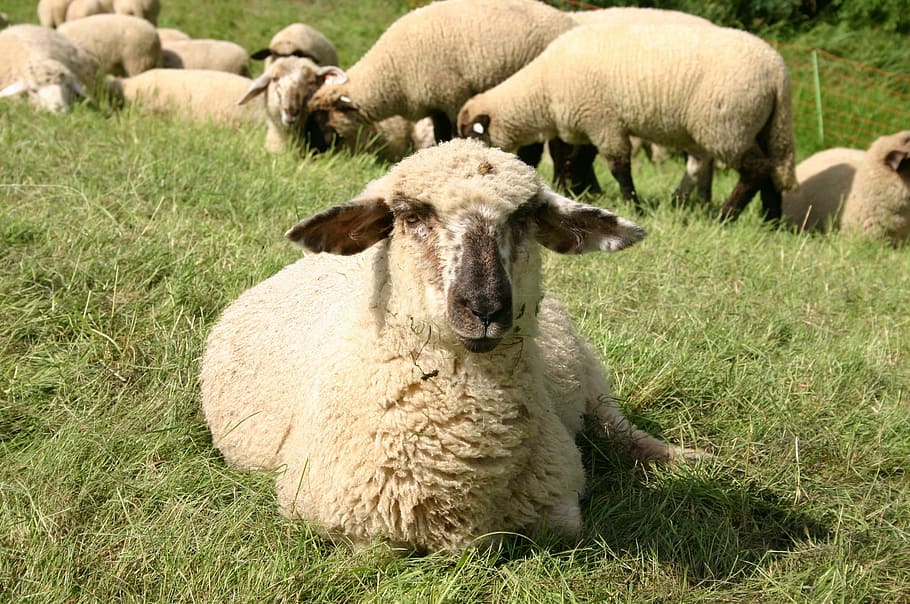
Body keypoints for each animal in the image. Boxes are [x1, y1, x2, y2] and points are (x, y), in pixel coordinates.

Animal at [200, 138, 701, 553]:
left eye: (524, 218)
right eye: (410, 215)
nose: (486, 308)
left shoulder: (560, 509)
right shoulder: (345, 522)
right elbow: (379, 551)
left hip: (590, 377)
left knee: (618, 429)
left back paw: (687, 460)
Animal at [304, 0, 577, 153]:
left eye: (321, 116)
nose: (312, 150)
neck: (391, 72)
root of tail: (567, 19)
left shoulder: (453, 97)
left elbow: (453, 135)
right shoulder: (434, 104)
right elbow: (441, 136)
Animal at [458, 22, 798, 222]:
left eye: (473, 134)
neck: (541, 90)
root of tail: (777, 73)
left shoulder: (602, 120)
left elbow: (618, 165)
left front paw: (634, 206)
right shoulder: (583, 125)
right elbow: (570, 160)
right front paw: (573, 193)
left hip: (726, 127)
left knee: (756, 169)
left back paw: (726, 216)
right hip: (762, 127)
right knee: (771, 169)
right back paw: (771, 220)